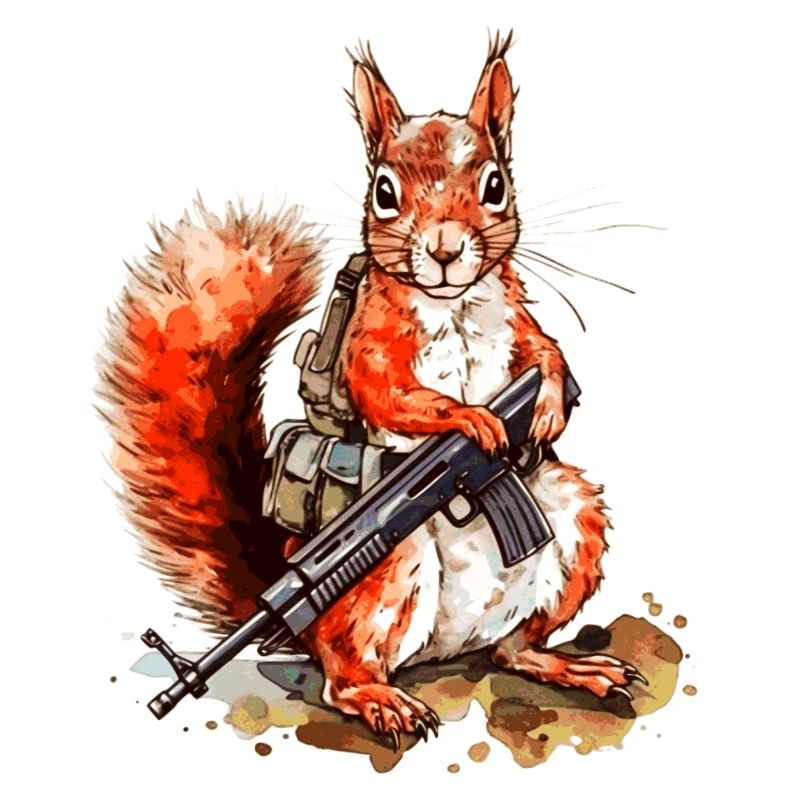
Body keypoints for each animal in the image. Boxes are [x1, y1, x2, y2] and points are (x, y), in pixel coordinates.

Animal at [99, 36, 644, 747]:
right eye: (383, 191)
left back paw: (571, 667)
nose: (444, 250)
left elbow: (546, 350)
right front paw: (472, 420)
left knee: (510, 651)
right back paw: (384, 699)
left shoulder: (517, 314)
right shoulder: (372, 342)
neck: (453, 302)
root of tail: (447, 650)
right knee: (343, 676)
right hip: (386, 568)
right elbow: (388, 391)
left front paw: (548, 398)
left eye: (495, 185)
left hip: (574, 520)